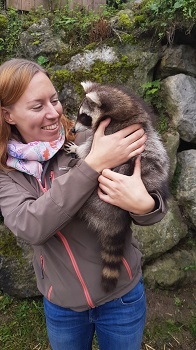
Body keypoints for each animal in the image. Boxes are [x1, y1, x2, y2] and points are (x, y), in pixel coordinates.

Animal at [65, 81, 169, 292]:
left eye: (84, 116)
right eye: (79, 113)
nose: (73, 131)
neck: (124, 107)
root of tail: (116, 215)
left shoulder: (111, 131)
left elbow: (89, 150)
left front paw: (78, 150)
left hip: (95, 199)